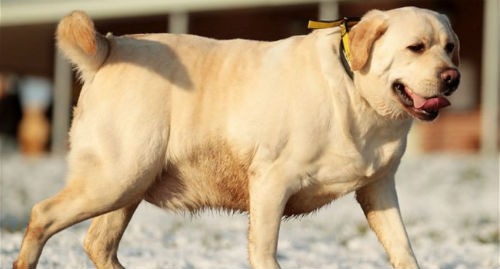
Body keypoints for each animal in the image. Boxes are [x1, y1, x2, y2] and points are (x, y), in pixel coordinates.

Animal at [14, 6, 460, 268]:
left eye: (450, 47)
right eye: (416, 47)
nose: (452, 78)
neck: (354, 92)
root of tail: (109, 48)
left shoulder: (378, 187)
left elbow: (402, 248)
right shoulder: (271, 181)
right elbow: (264, 250)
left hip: (128, 185)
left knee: (99, 243)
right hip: (115, 178)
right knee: (42, 215)